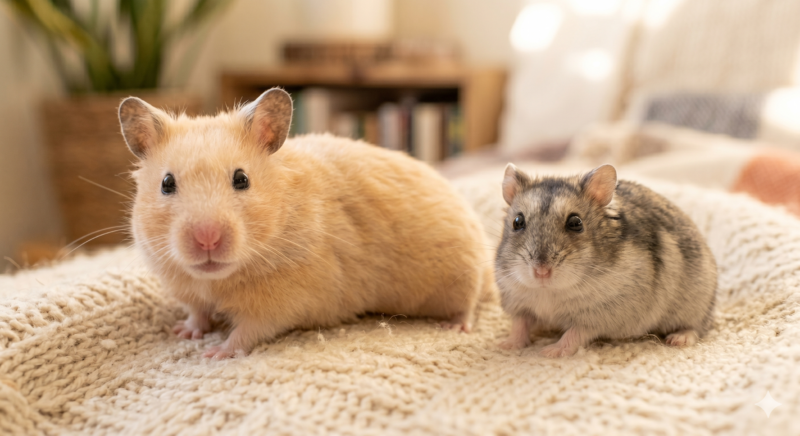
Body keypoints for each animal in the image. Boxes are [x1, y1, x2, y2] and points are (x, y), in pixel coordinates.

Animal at [118, 88, 493, 358]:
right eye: (167, 184)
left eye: (242, 179)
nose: (207, 239)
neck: (217, 281)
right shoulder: (187, 288)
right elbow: (196, 311)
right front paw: (183, 332)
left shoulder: (284, 301)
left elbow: (248, 331)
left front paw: (215, 353)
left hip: (463, 273)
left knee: (470, 304)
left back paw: (454, 328)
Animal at [495, 163, 717, 357]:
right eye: (517, 222)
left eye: (575, 223)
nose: (541, 272)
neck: (549, 291)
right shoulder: (518, 303)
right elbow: (520, 325)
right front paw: (506, 346)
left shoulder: (601, 316)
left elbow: (575, 333)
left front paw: (550, 352)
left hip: (697, 305)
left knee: (698, 328)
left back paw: (677, 339)